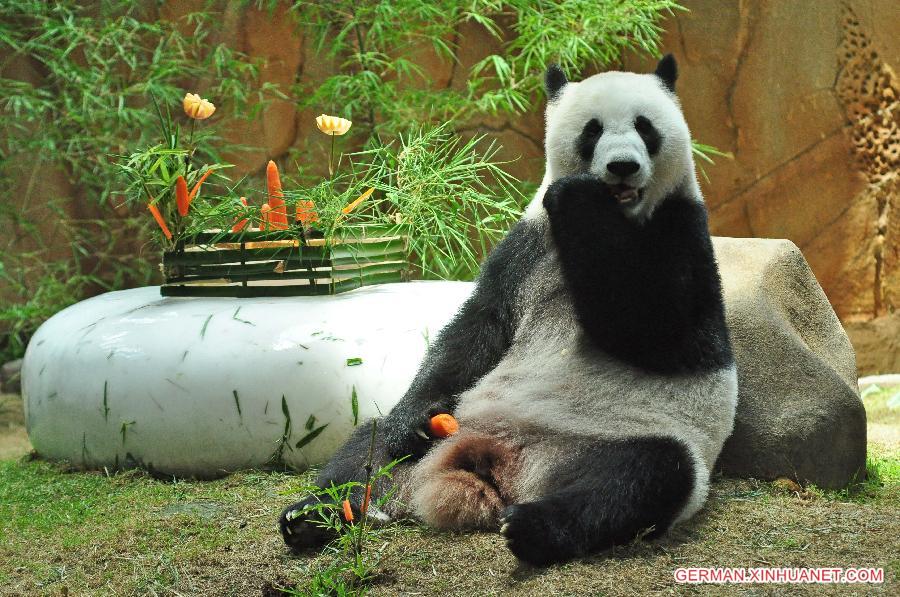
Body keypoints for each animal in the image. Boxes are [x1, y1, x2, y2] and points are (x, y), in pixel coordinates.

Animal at [280, 54, 740, 564]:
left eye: (645, 126)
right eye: (593, 130)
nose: (622, 166)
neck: (620, 216)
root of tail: (498, 468)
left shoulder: (682, 227)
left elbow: (664, 331)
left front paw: (578, 199)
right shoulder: (528, 246)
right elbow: (479, 329)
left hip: (620, 438)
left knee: (643, 476)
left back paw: (533, 527)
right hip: (445, 432)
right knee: (371, 446)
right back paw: (313, 515)